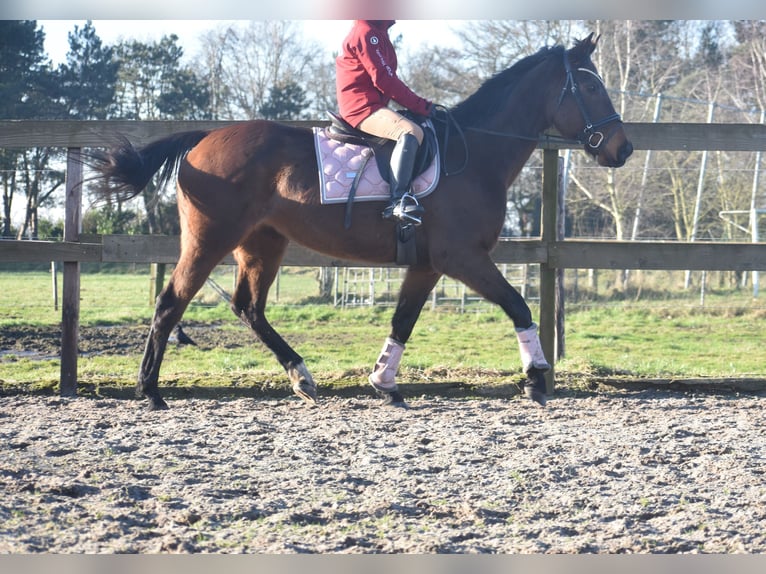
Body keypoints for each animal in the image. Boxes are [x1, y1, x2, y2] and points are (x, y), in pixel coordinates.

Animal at [90, 32, 632, 414]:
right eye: (589, 85)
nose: (622, 148)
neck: (475, 152)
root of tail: (204, 137)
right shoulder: (463, 257)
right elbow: (518, 304)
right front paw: (537, 376)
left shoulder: (429, 264)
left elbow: (403, 320)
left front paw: (383, 382)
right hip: (210, 241)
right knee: (171, 303)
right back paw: (150, 391)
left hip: (262, 245)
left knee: (248, 307)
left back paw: (301, 376)